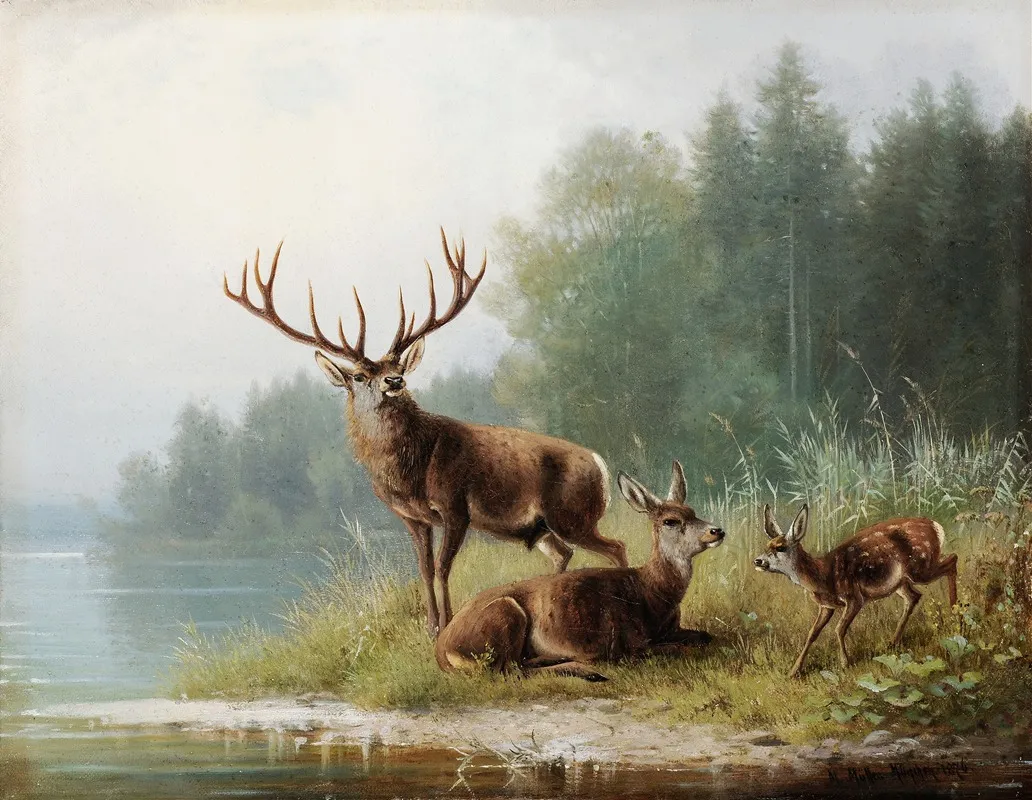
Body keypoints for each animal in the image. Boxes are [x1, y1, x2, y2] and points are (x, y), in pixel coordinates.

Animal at [223, 229, 628, 637]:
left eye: (399, 365)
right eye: (360, 375)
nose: (394, 380)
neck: (409, 472)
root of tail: (601, 465)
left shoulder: (454, 505)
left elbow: (443, 567)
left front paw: (446, 625)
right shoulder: (412, 518)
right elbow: (424, 568)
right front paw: (431, 625)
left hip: (571, 514)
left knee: (617, 547)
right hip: (545, 528)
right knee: (567, 553)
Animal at [435, 461, 725, 681]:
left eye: (693, 511)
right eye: (671, 521)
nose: (717, 531)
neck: (650, 591)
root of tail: (442, 647)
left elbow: (704, 636)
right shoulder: (629, 644)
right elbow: (680, 648)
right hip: (506, 615)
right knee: (508, 670)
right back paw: (586, 669)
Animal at [754, 504, 959, 678]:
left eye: (781, 547)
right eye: (766, 546)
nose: (757, 561)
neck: (824, 575)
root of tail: (936, 526)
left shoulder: (854, 597)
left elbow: (839, 628)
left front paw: (845, 663)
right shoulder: (826, 605)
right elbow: (812, 633)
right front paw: (794, 671)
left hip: (921, 566)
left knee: (952, 559)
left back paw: (955, 613)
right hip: (900, 581)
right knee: (914, 596)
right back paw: (893, 642)